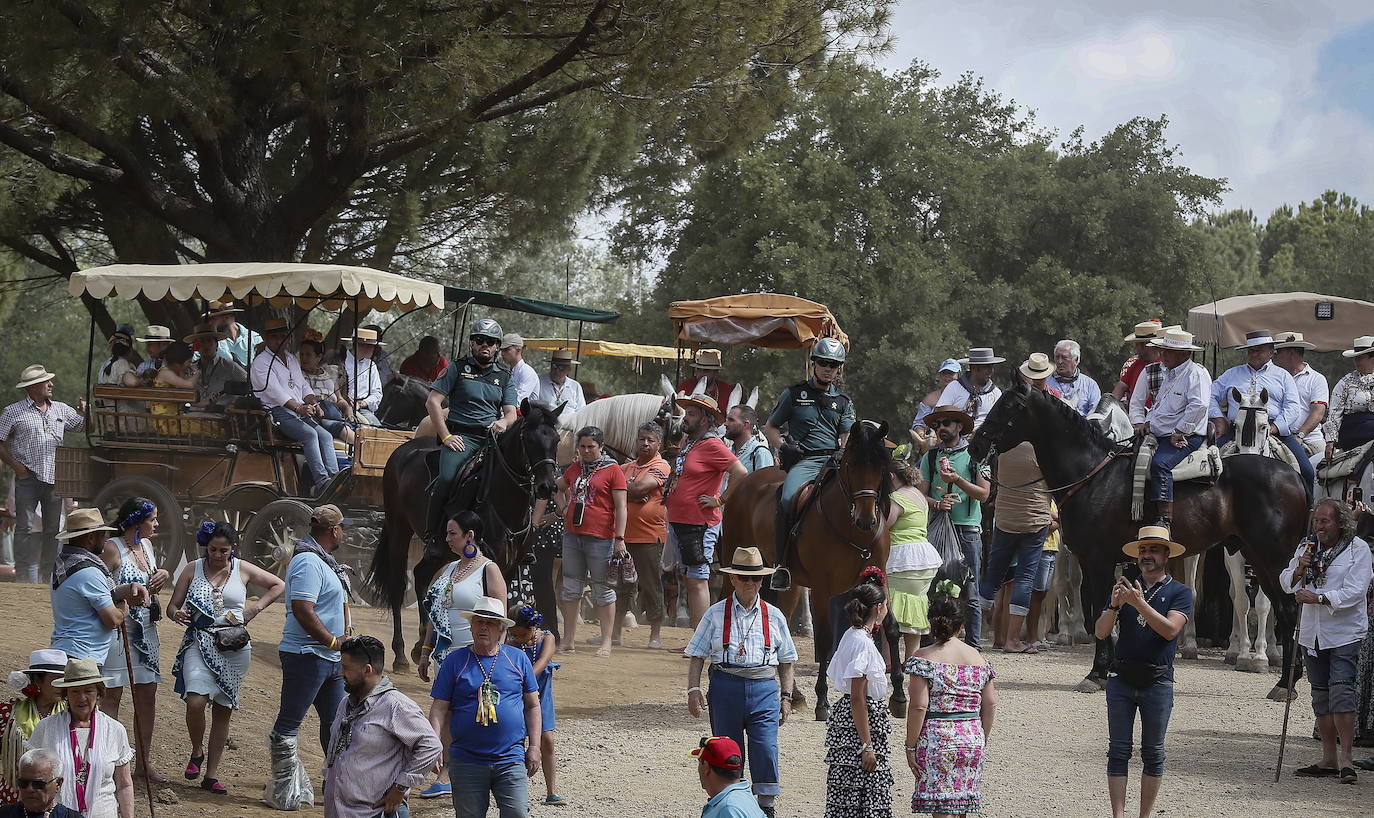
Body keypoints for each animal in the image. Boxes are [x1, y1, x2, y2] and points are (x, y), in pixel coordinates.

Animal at [365, 398, 563, 670]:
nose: (548, 486)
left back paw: (421, 641)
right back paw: (402, 653)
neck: (502, 499)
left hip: (442, 550)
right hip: (399, 529)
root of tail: (404, 450)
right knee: (398, 586)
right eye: (530, 439)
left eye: (556, 440)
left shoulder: (509, 565)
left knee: (421, 574)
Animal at [719, 417, 901, 720]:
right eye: (851, 465)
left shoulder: (878, 580)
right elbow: (825, 640)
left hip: (788, 582)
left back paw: (793, 695)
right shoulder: (821, 588)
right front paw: (823, 701)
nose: (867, 519)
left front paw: (899, 696)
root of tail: (747, 481)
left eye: (880, 466)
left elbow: (892, 629)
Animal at [972, 384, 1302, 698]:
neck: (1093, 476)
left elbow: (1102, 611)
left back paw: (1278, 676)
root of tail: (1294, 477)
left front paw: (1097, 673)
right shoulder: (1102, 563)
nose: (976, 444)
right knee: (1284, 610)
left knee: (1287, 610)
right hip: (1258, 560)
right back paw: (1286, 680)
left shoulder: (1100, 562)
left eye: (1009, 406)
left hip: (1274, 559)